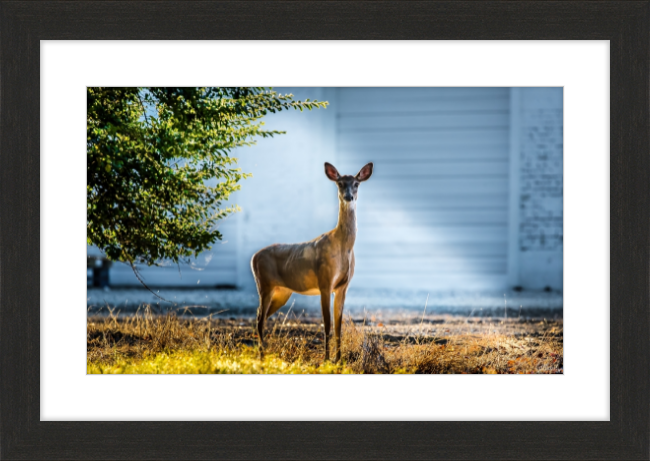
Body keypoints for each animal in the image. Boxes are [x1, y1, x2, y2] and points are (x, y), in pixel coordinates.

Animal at [249, 162, 372, 362]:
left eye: (356, 183)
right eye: (339, 183)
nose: (349, 196)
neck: (343, 247)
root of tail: (253, 257)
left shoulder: (342, 286)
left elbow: (339, 326)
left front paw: (339, 360)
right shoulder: (325, 282)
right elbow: (327, 324)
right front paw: (326, 360)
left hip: (282, 291)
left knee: (261, 316)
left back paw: (264, 354)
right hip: (265, 284)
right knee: (260, 319)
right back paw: (261, 357)